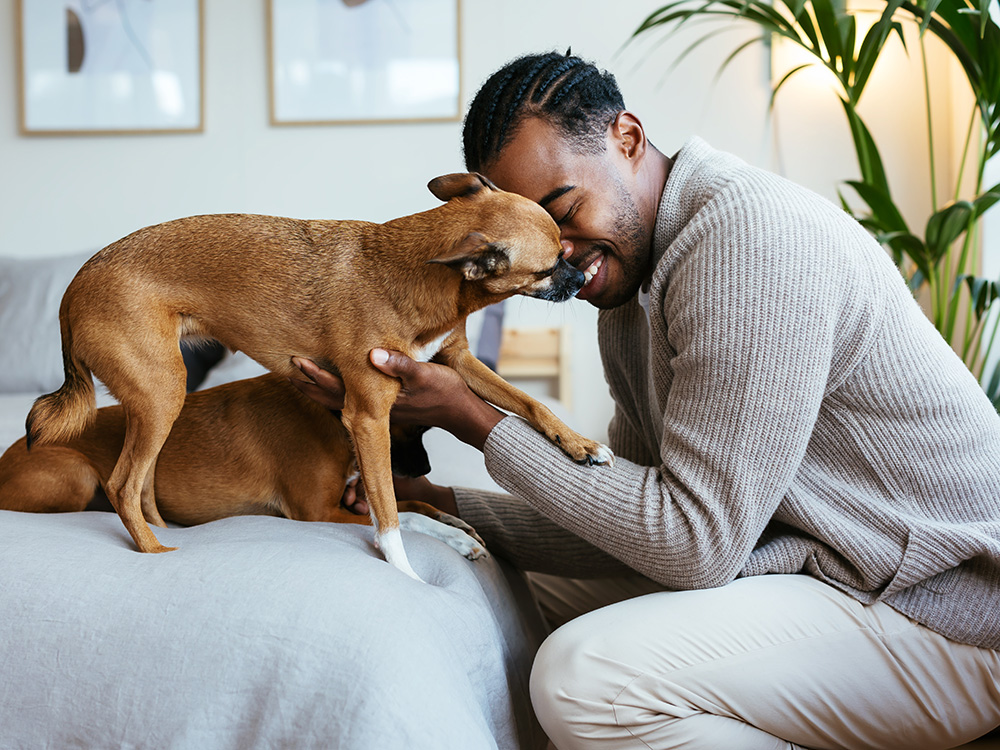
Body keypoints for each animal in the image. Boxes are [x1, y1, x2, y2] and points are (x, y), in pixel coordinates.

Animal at [0, 374, 484, 560]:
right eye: (417, 426)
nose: (424, 468)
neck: (328, 413)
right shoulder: (316, 512)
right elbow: (404, 517)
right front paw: (456, 538)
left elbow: (411, 505)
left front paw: (454, 520)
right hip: (77, 475)